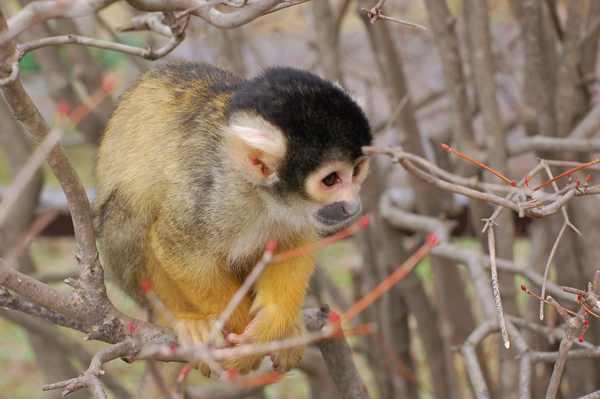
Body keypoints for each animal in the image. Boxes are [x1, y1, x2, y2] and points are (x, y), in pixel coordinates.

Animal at [95, 61, 370, 376]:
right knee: (130, 211)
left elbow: (291, 243)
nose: (353, 206)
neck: (261, 194)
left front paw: (271, 324)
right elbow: (177, 248)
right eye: (331, 179)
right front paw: (241, 335)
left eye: (356, 170)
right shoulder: (211, 194)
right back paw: (184, 318)